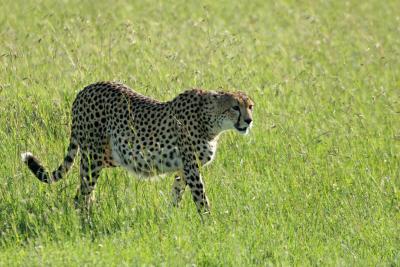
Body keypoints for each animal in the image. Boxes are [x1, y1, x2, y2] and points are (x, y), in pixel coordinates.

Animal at [21, 81, 253, 214]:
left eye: (250, 106)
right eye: (235, 107)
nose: (249, 120)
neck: (210, 120)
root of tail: (85, 90)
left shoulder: (183, 169)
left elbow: (177, 193)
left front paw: (171, 217)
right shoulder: (191, 167)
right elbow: (201, 198)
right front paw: (209, 225)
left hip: (108, 156)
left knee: (84, 191)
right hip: (93, 156)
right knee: (81, 195)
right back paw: (85, 221)